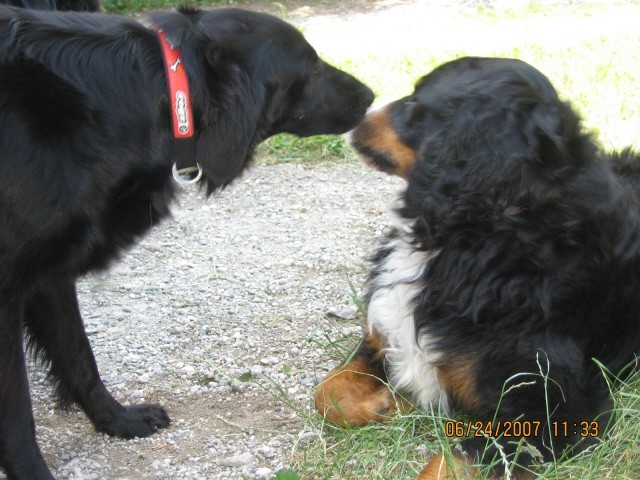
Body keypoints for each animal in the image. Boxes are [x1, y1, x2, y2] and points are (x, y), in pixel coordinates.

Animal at [0, 5, 372, 478]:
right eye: (310, 65)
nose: (372, 94)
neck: (155, 90)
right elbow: (16, 413)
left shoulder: (50, 271)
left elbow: (79, 357)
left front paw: (117, 419)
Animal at [316, 57, 640, 480]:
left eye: (418, 101)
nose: (356, 113)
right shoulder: (384, 335)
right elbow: (328, 391)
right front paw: (383, 403)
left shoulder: (559, 411)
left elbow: (452, 460)